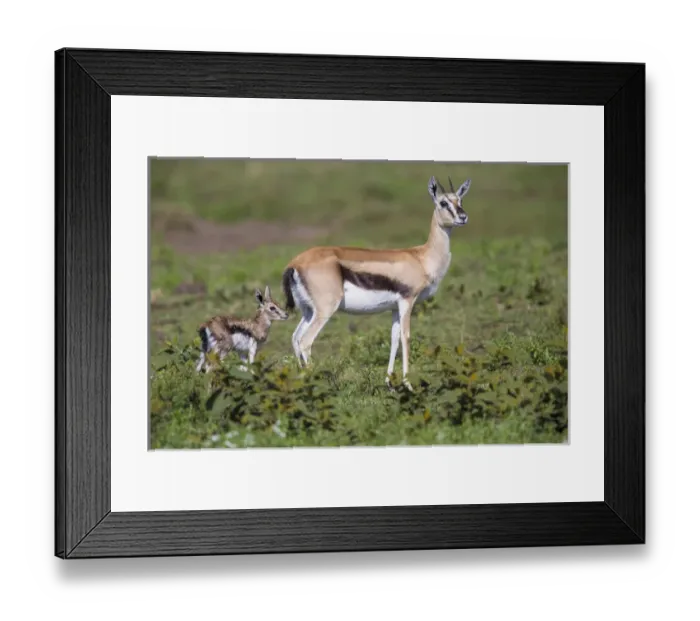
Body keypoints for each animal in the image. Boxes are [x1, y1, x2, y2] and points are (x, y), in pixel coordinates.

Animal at [281, 175, 471, 390]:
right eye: (443, 202)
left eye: (460, 200)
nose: (463, 217)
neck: (421, 258)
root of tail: (295, 263)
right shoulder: (407, 301)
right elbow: (406, 337)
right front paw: (408, 385)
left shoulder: (395, 307)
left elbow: (394, 338)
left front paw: (389, 383)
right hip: (325, 310)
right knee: (306, 341)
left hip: (308, 311)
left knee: (296, 338)